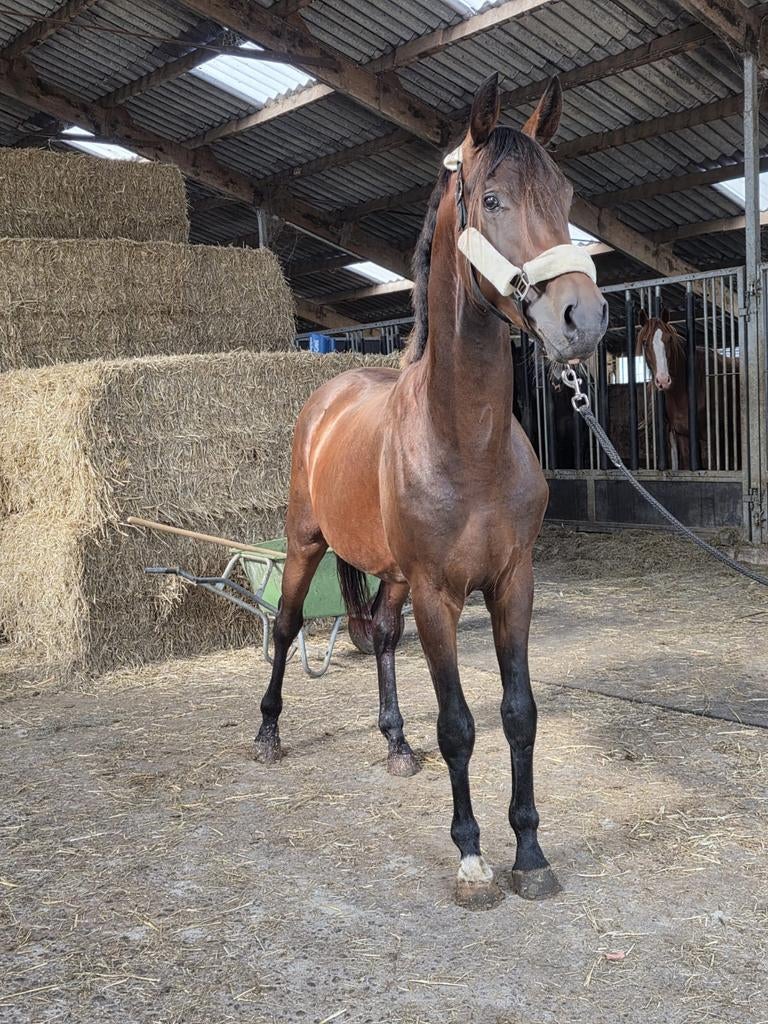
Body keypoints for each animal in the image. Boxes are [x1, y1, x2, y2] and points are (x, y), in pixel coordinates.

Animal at [255, 73, 608, 909]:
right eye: (493, 198)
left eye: (566, 194)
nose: (581, 318)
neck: (466, 442)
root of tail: (330, 394)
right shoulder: (438, 594)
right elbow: (460, 724)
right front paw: (473, 858)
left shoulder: (512, 583)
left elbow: (518, 714)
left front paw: (530, 853)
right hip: (305, 545)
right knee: (284, 628)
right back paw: (268, 734)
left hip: (389, 576)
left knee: (382, 636)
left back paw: (395, 744)